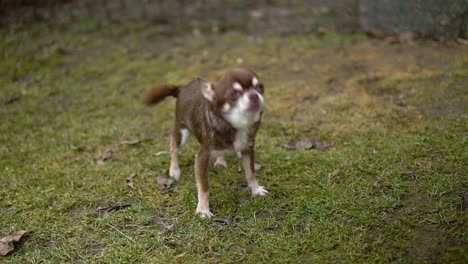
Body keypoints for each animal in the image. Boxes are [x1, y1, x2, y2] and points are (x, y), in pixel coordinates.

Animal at [144, 68, 268, 219]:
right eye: (233, 94)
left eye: (260, 87)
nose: (254, 95)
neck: (236, 124)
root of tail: (182, 88)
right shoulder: (202, 158)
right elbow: (204, 187)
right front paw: (203, 209)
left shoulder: (248, 149)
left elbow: (250, 173)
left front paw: (256, 190)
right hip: (182, 132)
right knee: (173, 147)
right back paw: (174, 170)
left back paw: (220, 160)